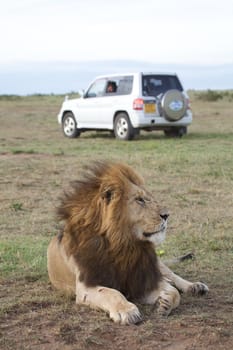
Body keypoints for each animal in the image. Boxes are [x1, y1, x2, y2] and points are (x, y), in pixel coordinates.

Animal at [46, 161, 208, 326]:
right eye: (140, 200)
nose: (166, 215)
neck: (124, 245)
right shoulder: (86, 286)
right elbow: (111, 292)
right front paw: (127, 311)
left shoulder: (142, 279)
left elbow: (174, 292)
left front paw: (164, 304)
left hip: (156, 264)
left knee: (173, 276)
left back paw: (195, 286)